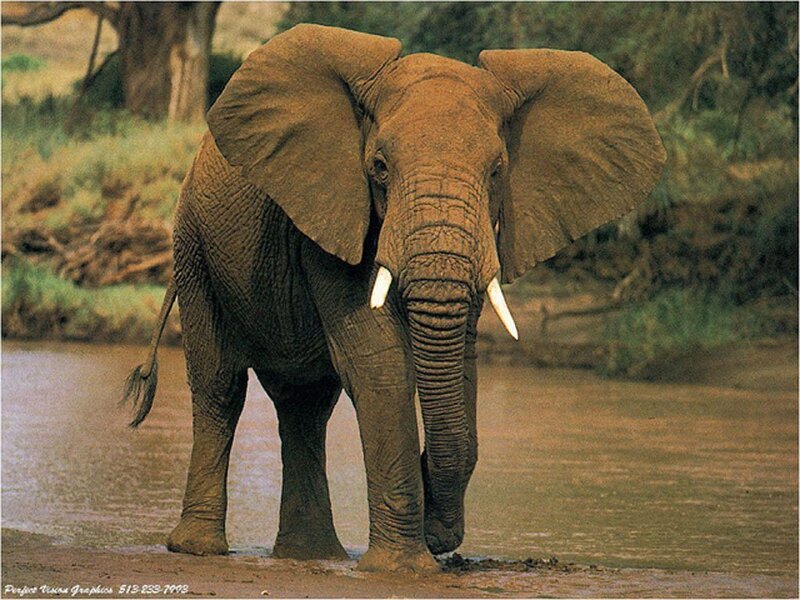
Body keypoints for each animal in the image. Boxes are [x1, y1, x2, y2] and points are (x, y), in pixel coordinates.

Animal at [123, 24, 665, 572]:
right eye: (379, 168)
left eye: (497, 170)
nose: (440, 533)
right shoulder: (335, 208)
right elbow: (380, 363)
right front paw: (403, 567)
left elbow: (458, 360)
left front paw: (429, 535)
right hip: (194, 248)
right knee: (221, 386)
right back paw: (200, 548)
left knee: (305, 406)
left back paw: (311, 556)